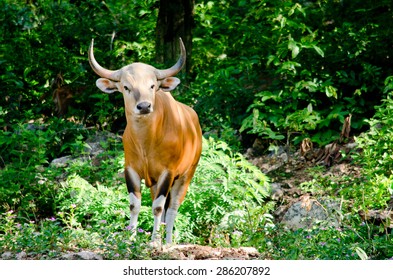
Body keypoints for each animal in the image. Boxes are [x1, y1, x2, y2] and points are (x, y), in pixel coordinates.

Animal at [87, 38, 201, 244]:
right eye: (126, 86)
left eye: (152, 85)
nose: (144, 106)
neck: (147, 143)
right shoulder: (131, 169)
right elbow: (135, 205)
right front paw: (130, 237)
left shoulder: (168, 172)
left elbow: (158, 207)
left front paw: (154, 241)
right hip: (156, 182)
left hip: (187, 175)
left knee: (172, 208)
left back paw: (167, 241)